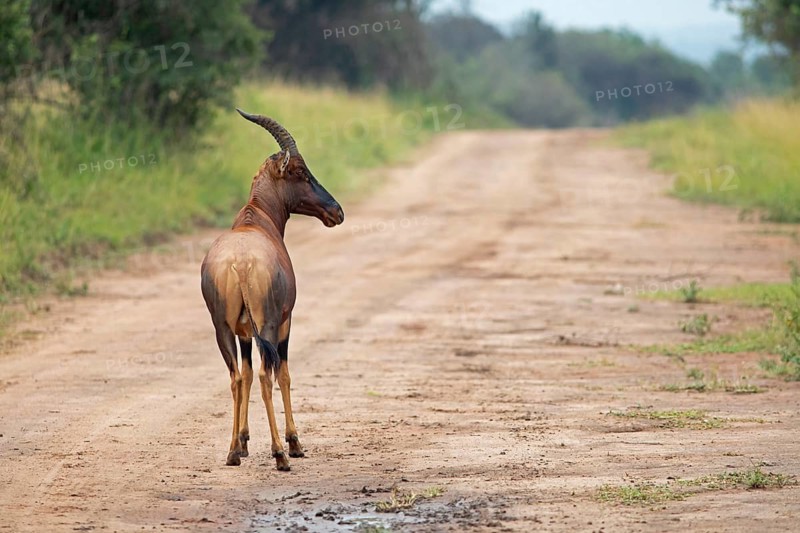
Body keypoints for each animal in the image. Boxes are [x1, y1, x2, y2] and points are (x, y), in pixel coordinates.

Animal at [200, 109, 344, 470]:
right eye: (300, 171)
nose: (337, 212)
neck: (256, 220)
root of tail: (239, 263)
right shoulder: (285, 322)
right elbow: (285, 374)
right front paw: (295, 443)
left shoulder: (243, 332)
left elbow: (247, 374)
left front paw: (243, 441)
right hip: (267, 323)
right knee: (269, 375)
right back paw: (280, 453)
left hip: (222, 328)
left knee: (237, 377)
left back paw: (232, 453)